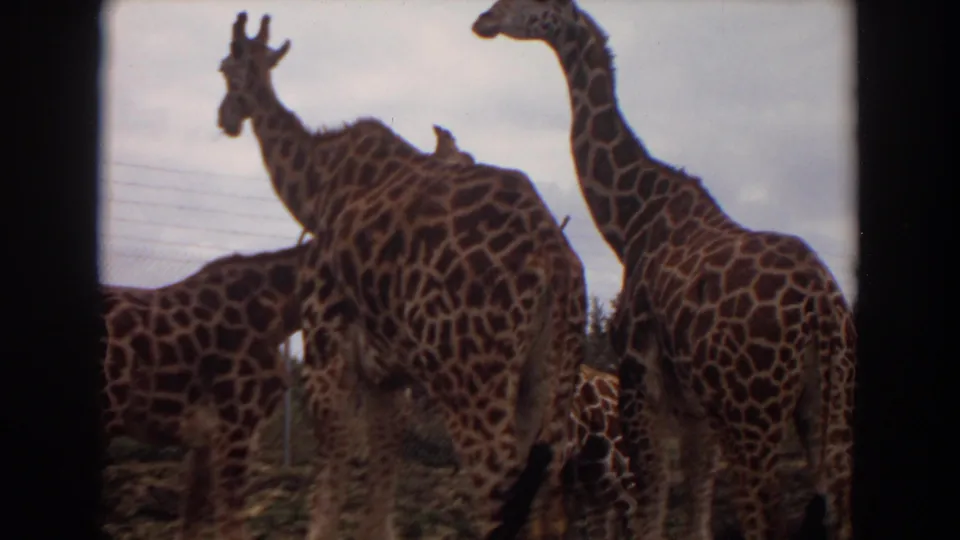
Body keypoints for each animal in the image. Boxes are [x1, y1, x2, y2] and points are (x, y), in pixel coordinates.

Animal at [215, 12, 587, 540]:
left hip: (472, 381)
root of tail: (555, 261)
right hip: (550, 379)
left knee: (499, 497)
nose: (225, 118)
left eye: (225, 68)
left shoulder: (325, 352)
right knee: (551, 497)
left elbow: (331, 478)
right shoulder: (389, 375)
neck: (316, 186)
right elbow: (382, 486)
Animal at [472, 2, 857, 539]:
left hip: (754, 413)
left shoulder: (638, 375)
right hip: (826, 405)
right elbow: (696, 502)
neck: (630, 218)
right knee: (834, 506)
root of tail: (823, 306)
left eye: (528, 5)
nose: (483, 20)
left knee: (766, 518)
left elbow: (652, 500)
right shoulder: (694, 403)